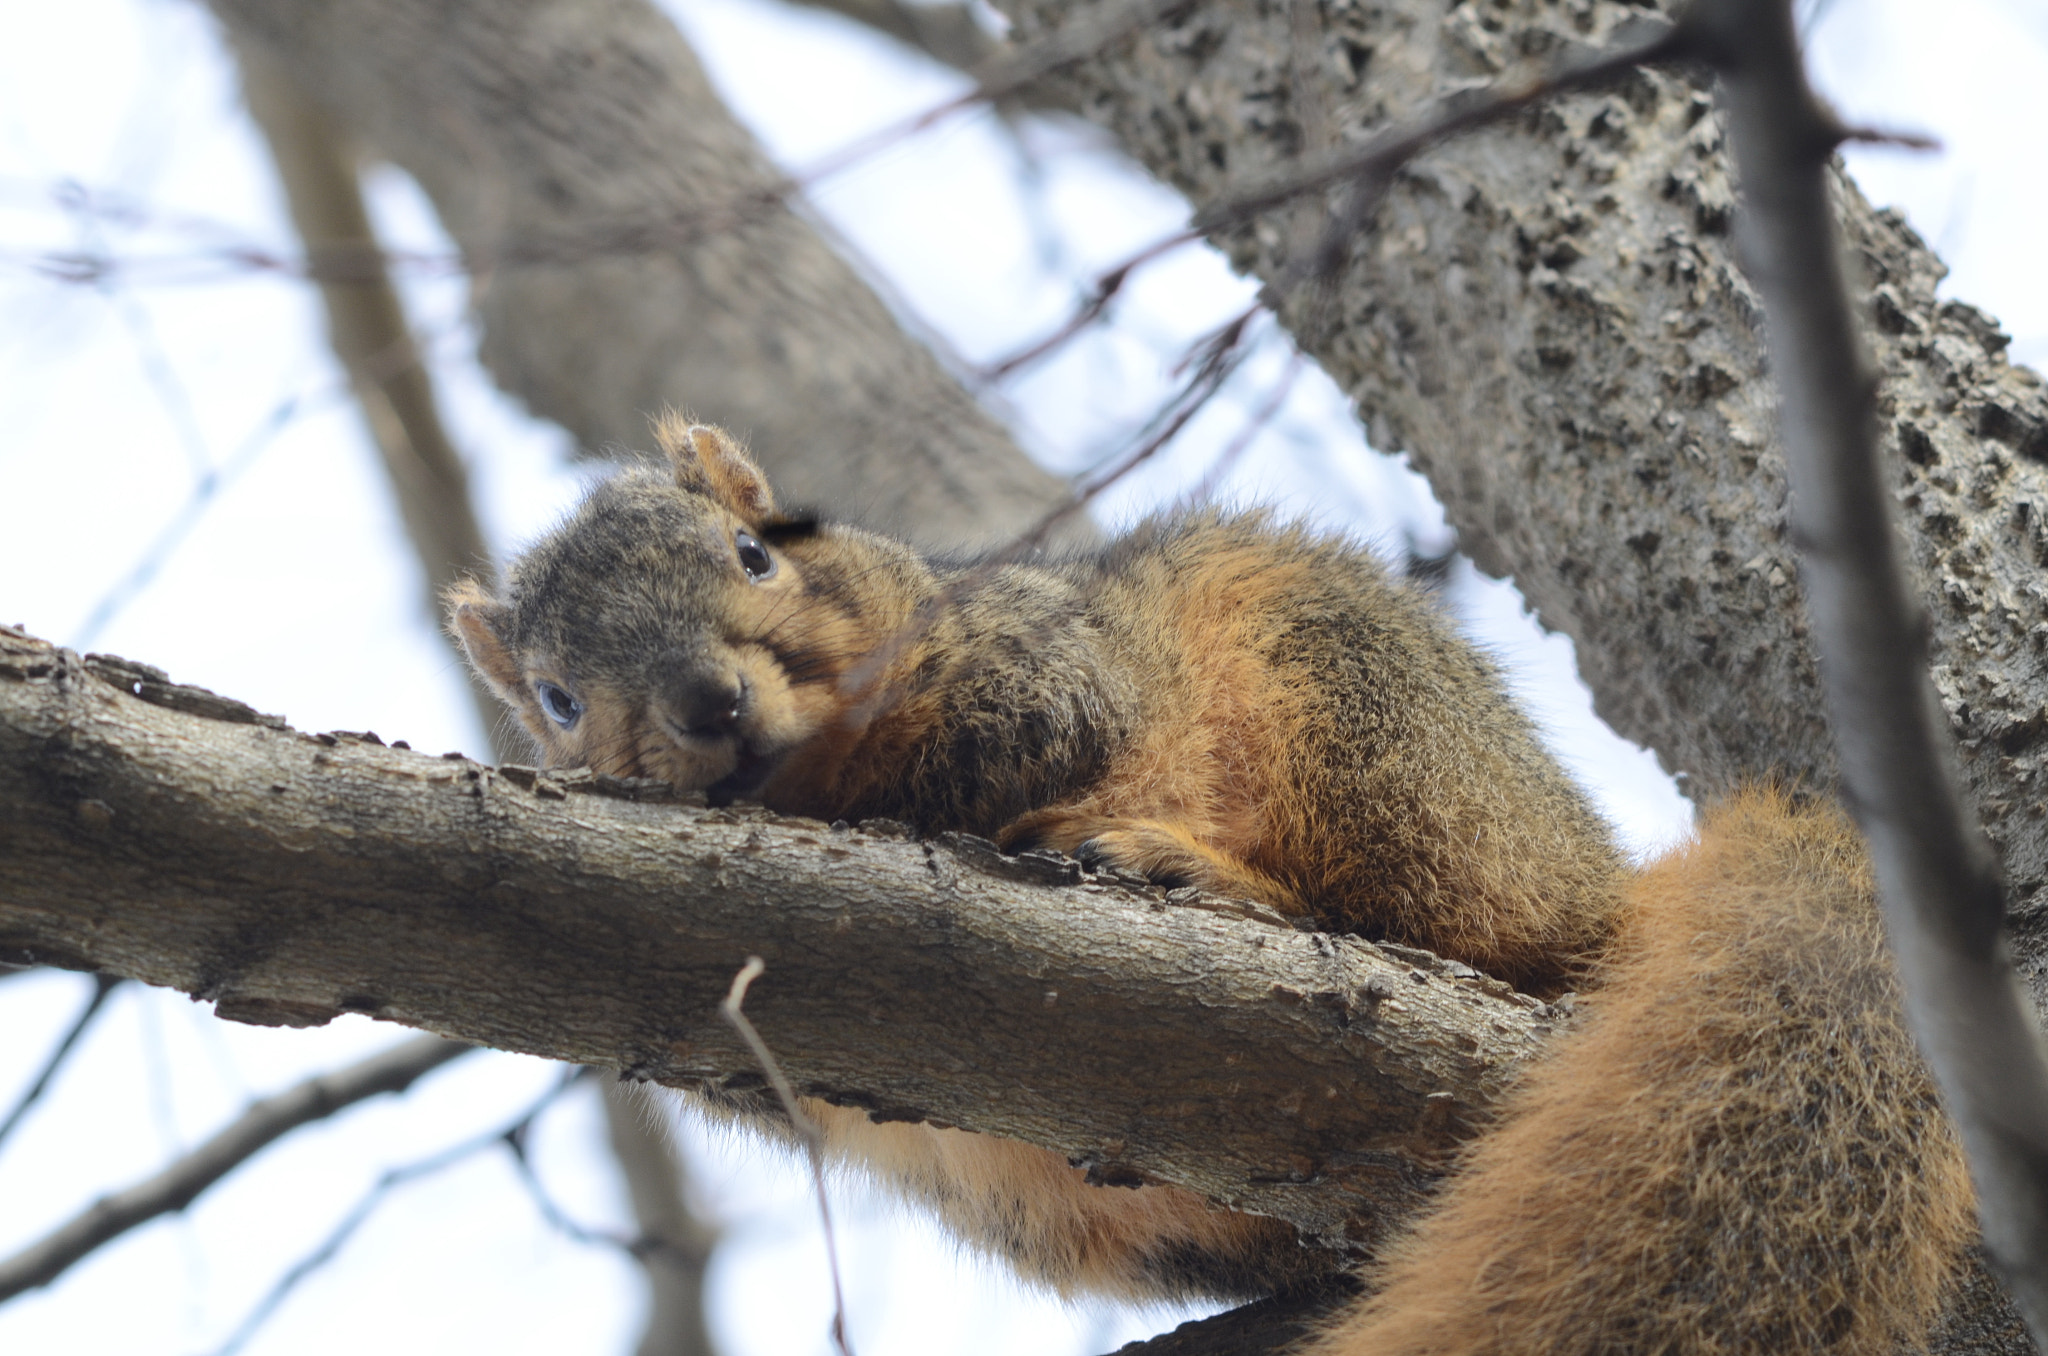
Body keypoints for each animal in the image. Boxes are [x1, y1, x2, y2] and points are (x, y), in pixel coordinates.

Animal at [444, 419, 1966, 1351]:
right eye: (560, 699)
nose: (706, 708)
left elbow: (1031, 735)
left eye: (756, 553)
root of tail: (1603, 884)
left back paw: (1211, 877)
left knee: (1438, 924)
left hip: (1370, 734)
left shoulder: (1041, 665)